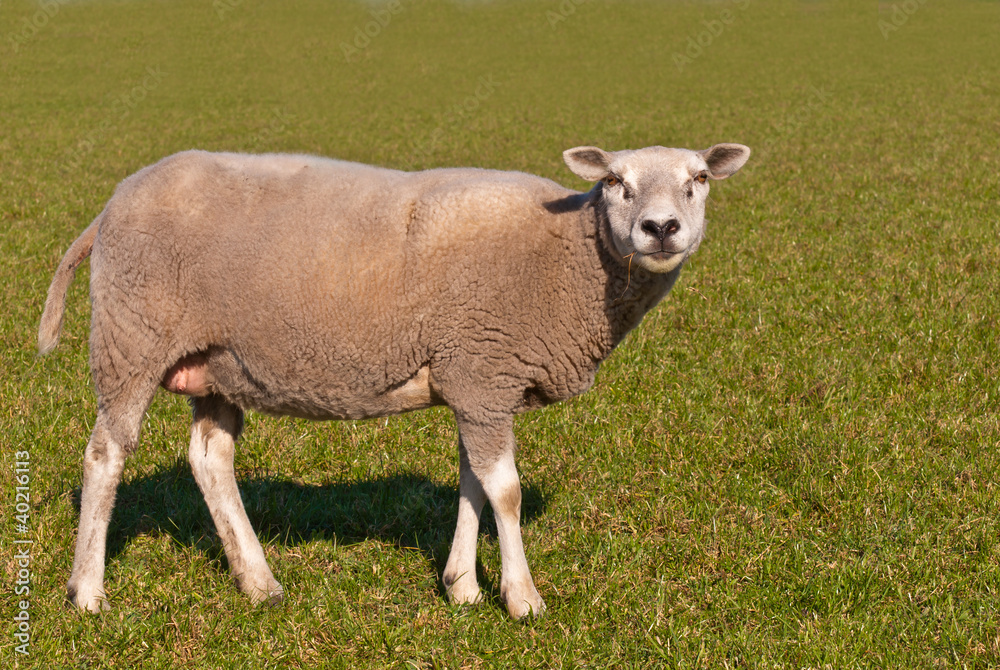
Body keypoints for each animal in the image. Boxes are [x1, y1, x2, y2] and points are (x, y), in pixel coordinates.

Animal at [39, 144, 752, 624]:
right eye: (613, 181)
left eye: (698, 180)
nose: (661, 229)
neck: (567, 256)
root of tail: (109, 207)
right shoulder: (484, 368)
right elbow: (507, 491)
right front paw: (522, 599)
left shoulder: (471, 378)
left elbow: (472, 484)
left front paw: (462, 586)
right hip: (132, 337)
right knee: (105, 456)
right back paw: (88, 593)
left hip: (218, 361)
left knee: (210, 458)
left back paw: (258, 581)